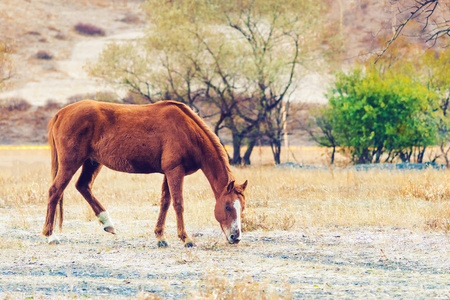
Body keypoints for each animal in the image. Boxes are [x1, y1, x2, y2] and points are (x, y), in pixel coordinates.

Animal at [42, 99, 248, 247]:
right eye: (227, 207)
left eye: (242, 207)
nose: (235, 237)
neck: (188, 131)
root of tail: (61, 113)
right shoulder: (175, 171)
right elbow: (178, 203)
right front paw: (185, 238)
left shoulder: (168, 172)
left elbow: (165, 202)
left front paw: (160, 237)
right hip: (70, 163)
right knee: (55, 191)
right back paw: (50, 235)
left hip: (92, 162)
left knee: (83, 186)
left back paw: (107, 223)